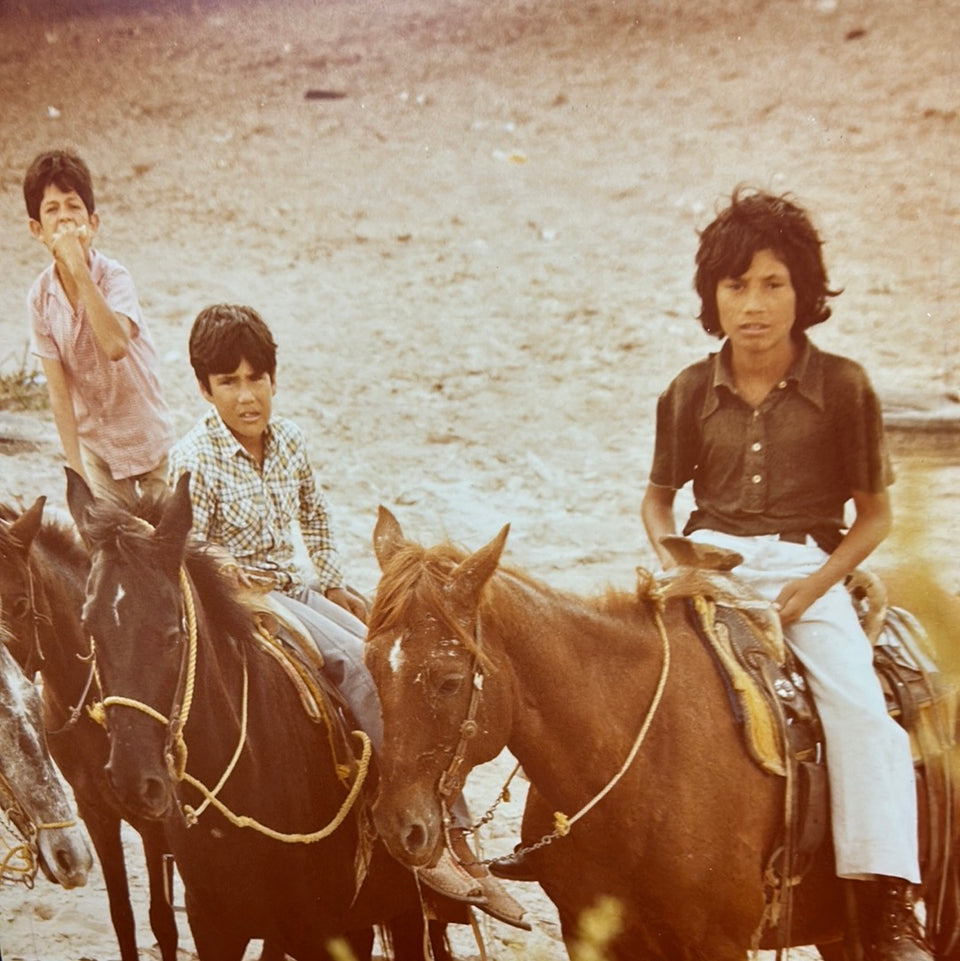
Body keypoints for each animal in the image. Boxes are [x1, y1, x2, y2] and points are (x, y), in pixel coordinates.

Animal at [368, 506, 960, 956]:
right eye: (371, 665)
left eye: (448, 681)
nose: (400, 829)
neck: (645, 765)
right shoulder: (590, 932)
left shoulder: (720, 943)